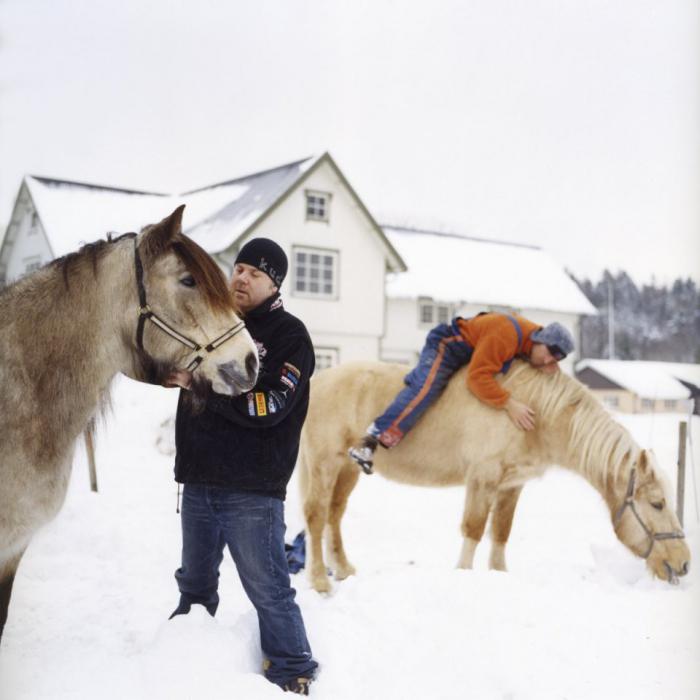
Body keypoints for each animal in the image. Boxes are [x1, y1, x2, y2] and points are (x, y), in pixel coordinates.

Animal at [300, 358, 688, 592]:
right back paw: (320, 581)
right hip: (324, 462)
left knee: (334, 515)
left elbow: (500, 532)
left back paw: (343, 568)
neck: (536, 413)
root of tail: (319, 379)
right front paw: (463, 574)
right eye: (657, 503)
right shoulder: (482, 479)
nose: (684, 563)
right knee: (317, 516)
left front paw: (499, 576)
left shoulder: (511, 486)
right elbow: (473, 529)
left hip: (347, 468)